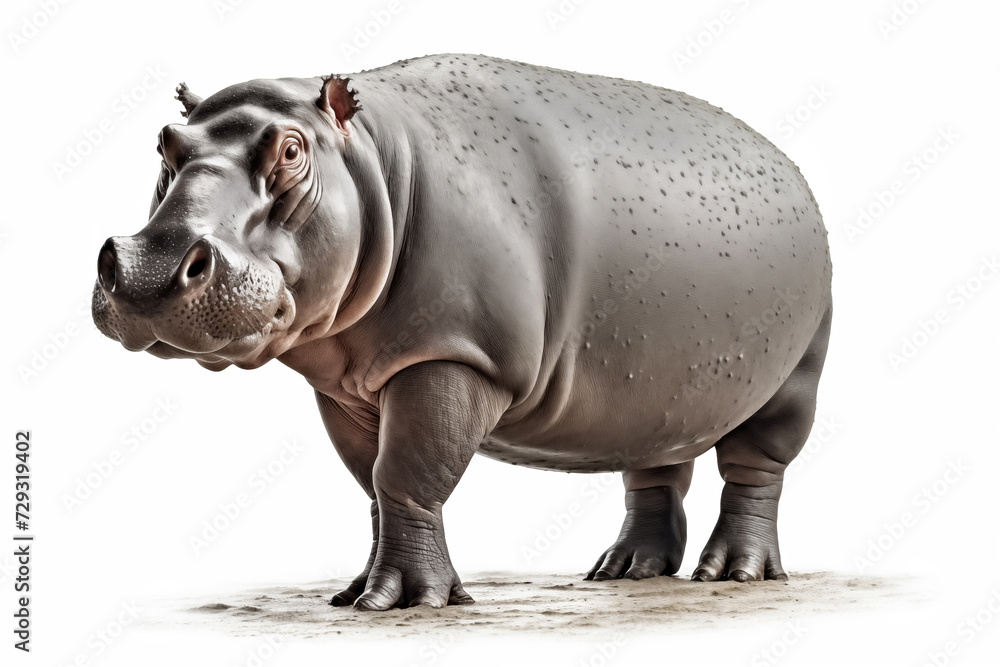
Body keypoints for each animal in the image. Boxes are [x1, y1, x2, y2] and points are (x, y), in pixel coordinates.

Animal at [92, 54, 832, 611]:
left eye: (293, 150)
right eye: (164, 143)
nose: (150, 269)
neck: (373, 163)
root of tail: (791, 168)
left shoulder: (451, 356)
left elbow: (407, 472)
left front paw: (402, 601)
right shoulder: (347, 387)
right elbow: (373, 484)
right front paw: (354, 593)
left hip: (796, 374)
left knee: (757, 469)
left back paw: (734, 573)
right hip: (658, 388)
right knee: (655, 464)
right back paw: (623, 571)